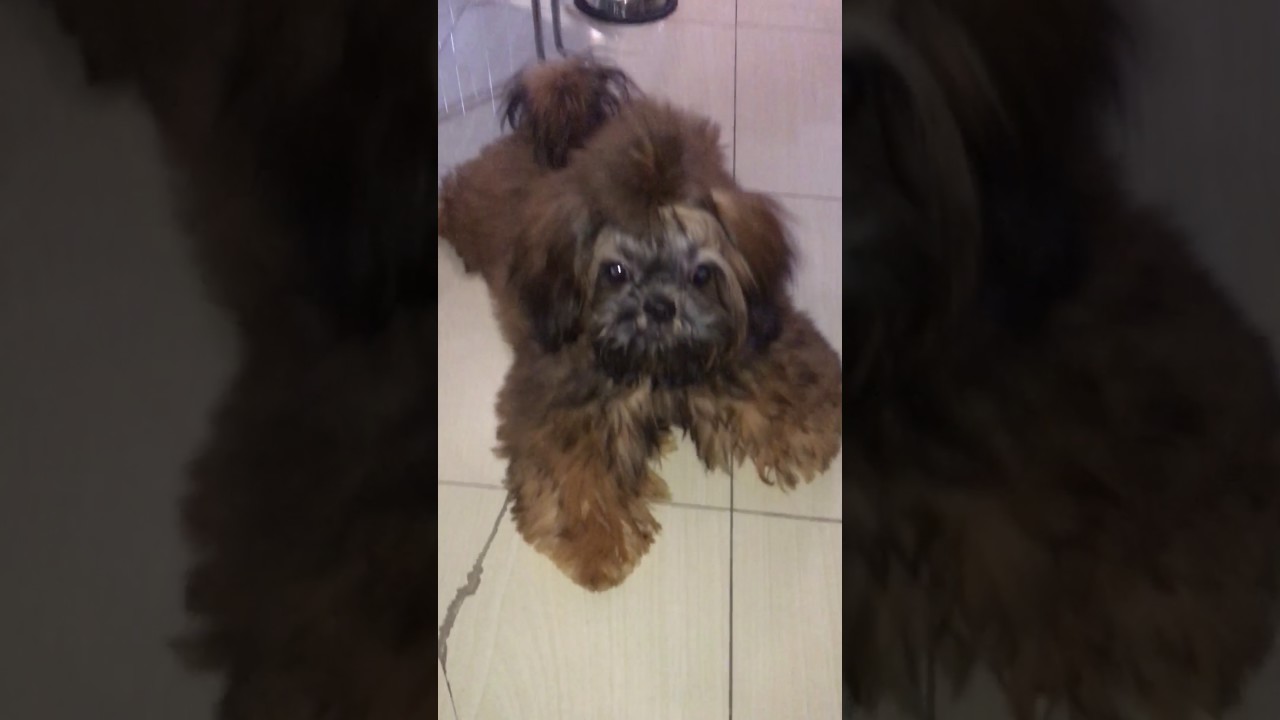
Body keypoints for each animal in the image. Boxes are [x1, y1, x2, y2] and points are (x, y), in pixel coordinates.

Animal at [438, 57, 844, 590]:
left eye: (701, 273)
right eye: (615, 271)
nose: (659, 307)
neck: (656, 364)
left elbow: (785, 384)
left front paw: (801, 433)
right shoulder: (562, 397)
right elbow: (575, 470)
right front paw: (597, 542)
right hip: (475, 206)